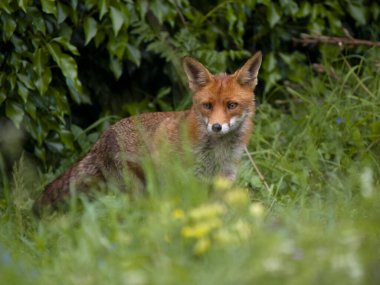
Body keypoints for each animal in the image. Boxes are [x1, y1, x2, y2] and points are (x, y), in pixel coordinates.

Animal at [33, 51, 262, 212]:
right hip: (136, 191)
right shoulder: (189, 181)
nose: (216, 127)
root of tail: (100, 140)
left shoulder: (224, 179)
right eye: (207, 106)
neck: (217, 153)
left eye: (231, 105)